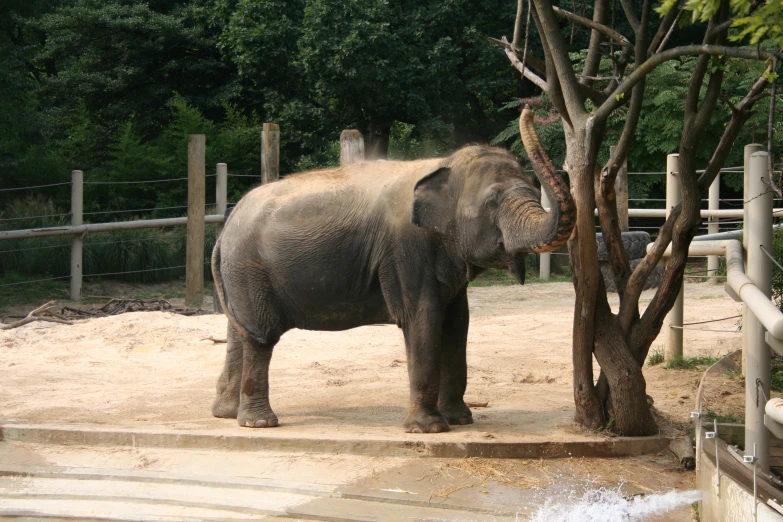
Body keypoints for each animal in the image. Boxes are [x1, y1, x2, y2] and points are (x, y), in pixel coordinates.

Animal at [210, 105, 576, 430]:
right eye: (492, 201)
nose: (529, 109)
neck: (442, 165)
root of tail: (225, 227)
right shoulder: (405, 251)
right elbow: (422, 319)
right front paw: (429, 429)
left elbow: (458, 323)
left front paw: (460, 420)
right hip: (250, 271)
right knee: (261, 337)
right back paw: (259, 422)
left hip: (239, 274)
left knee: (239, 332)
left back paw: (226, 414)